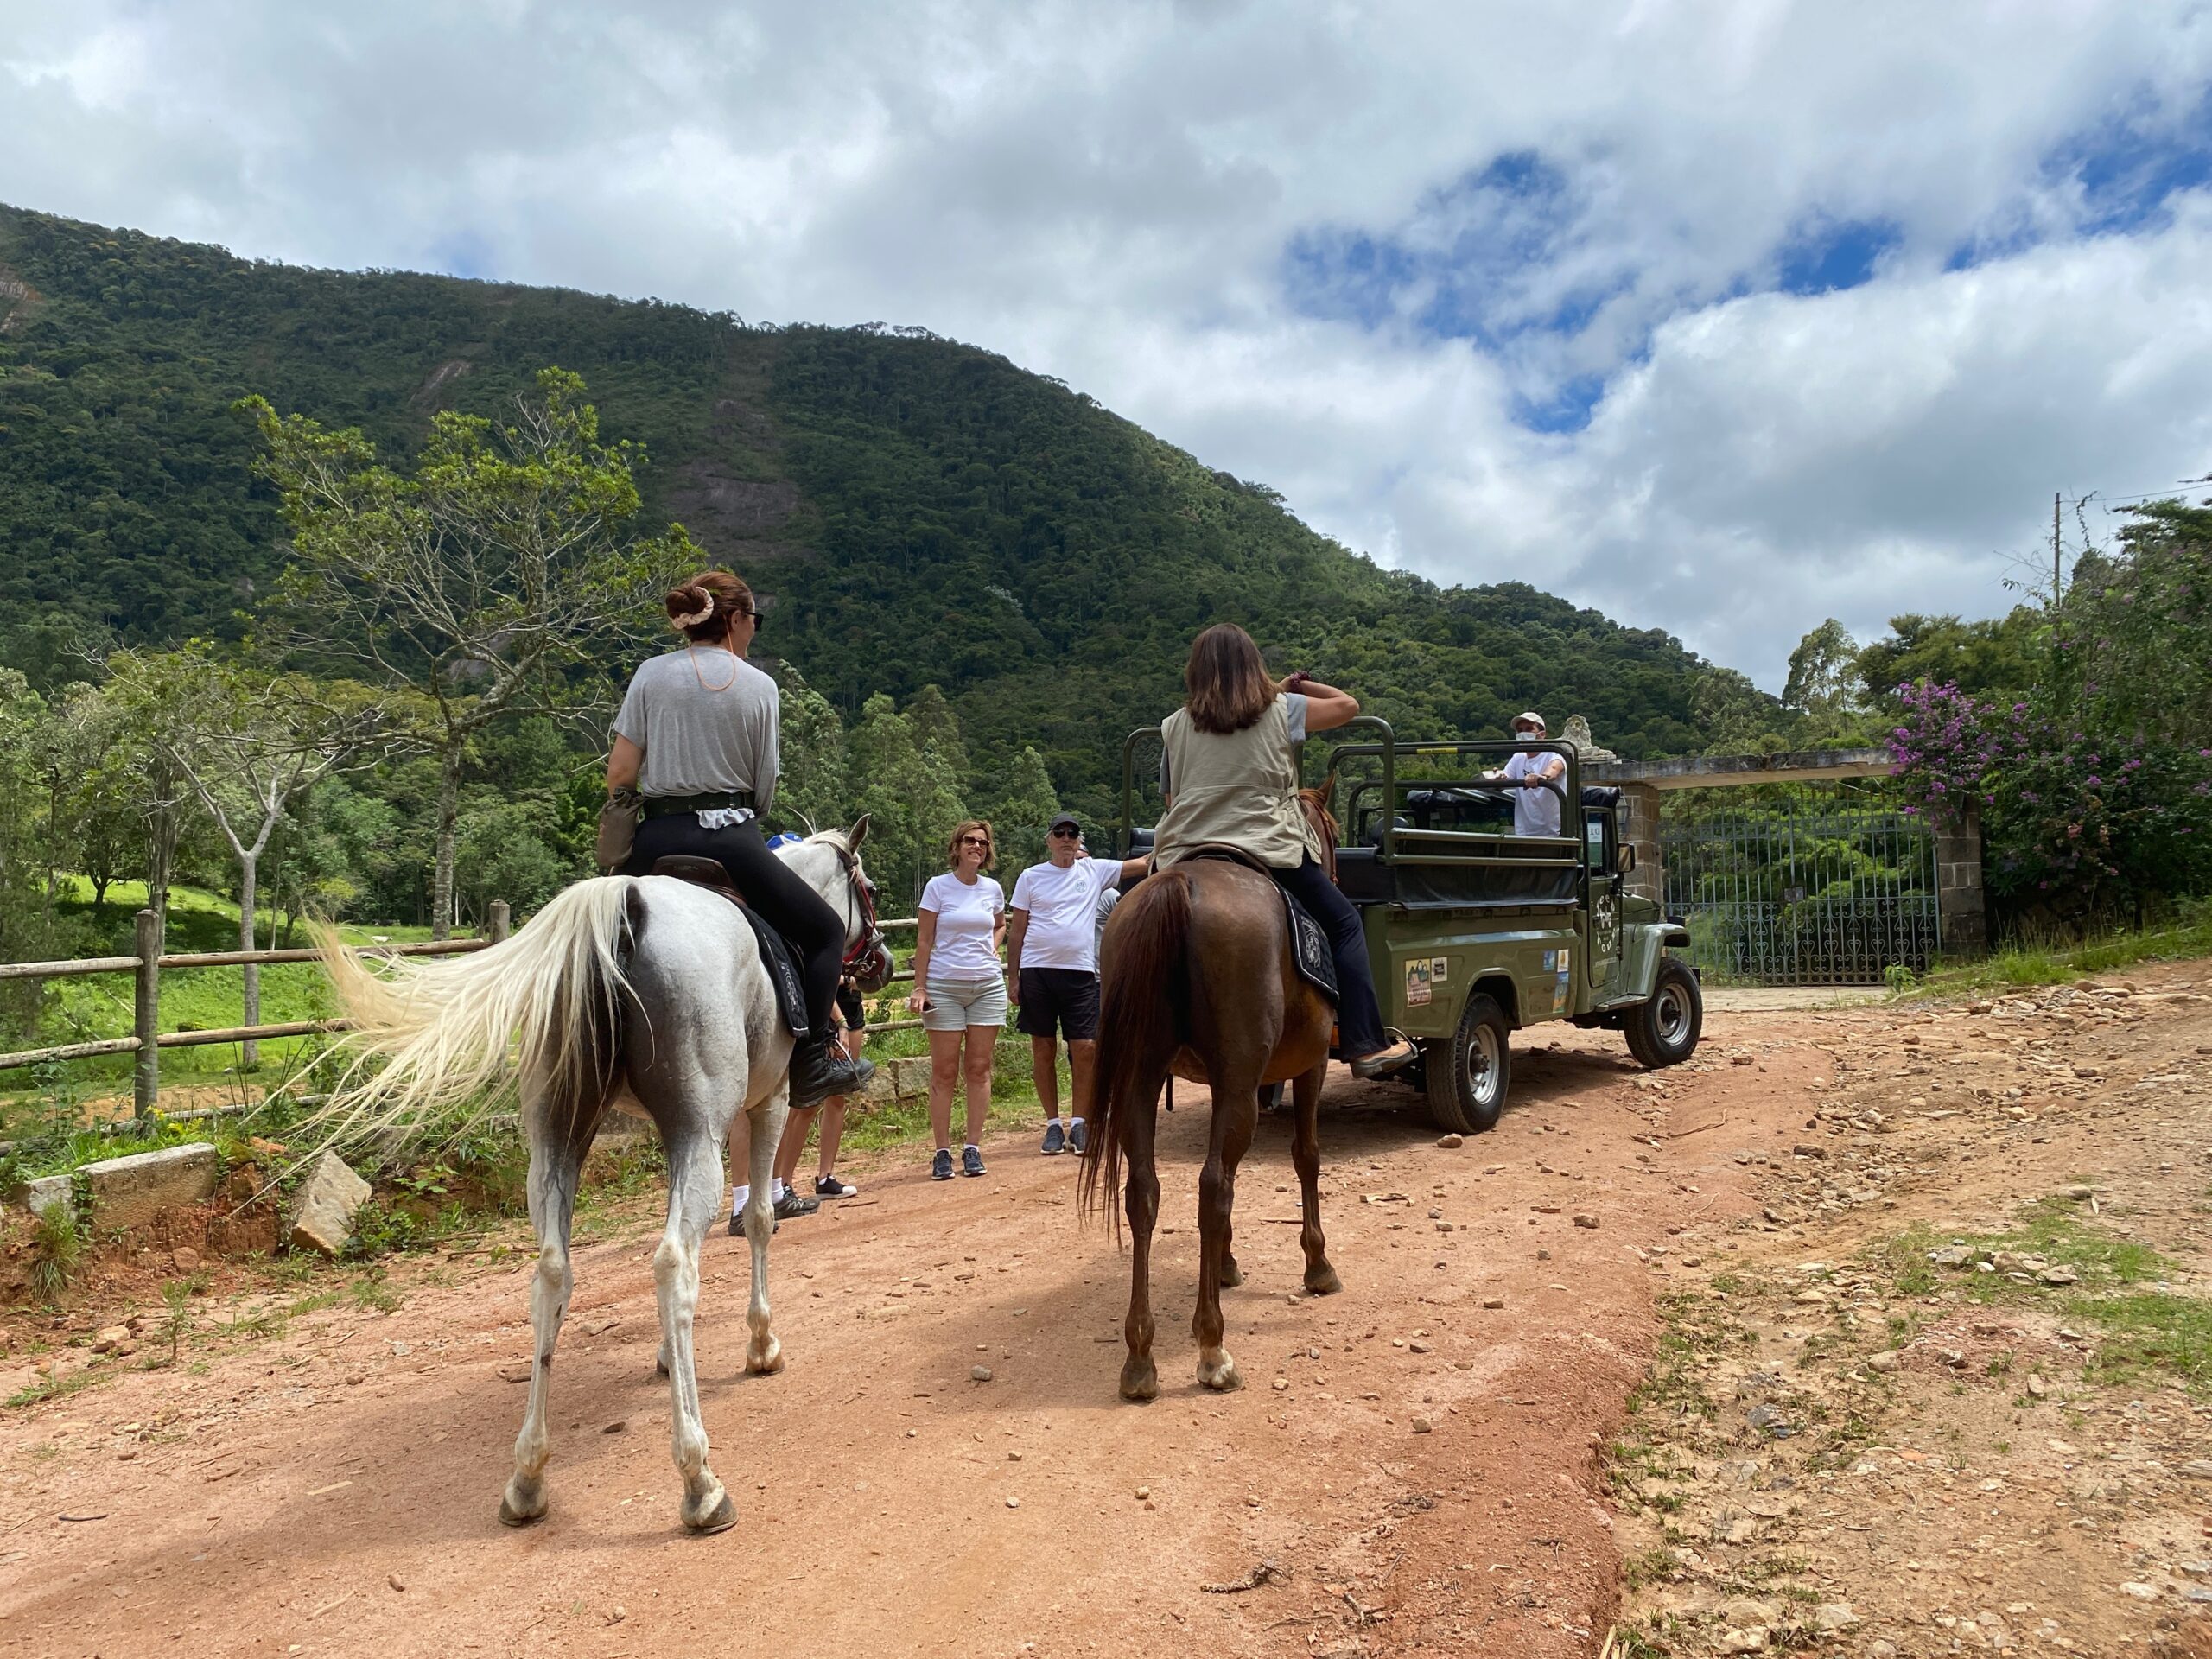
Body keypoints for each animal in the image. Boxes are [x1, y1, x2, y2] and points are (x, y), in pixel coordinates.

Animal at [318, 827, 880, 1539]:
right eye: (870, 891)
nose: (883, 963)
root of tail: (626, 905)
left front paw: (671, 1356)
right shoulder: (767, 1105)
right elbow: (758, 1221)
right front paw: (761, 1343)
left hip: (558, 1143)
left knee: (552, 1276)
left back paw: (528, 1477)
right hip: (698, 1133)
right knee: (674, 1265)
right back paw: (699, 1480)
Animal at [1075, 787, 1336, 1407]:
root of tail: (1179, 886)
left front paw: (1225, 1263)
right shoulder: (1306, 1066)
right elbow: (1306, 1158)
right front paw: (1317, 1263)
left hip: (1141, 1078)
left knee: (1143, 1192)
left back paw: (1140, 1357)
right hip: (1239, 1079)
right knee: (1213, 1187)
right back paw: (1212, 1348)